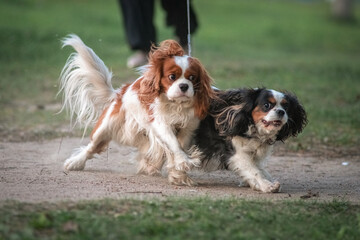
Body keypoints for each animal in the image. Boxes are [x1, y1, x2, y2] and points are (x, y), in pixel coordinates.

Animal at [59, 34, 214, 186]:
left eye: (192, 78)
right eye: (172, 77)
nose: (184, 86)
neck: (176, 105)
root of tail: (119, 93)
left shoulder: (187, 129)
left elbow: (178, 146)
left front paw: (179, 173)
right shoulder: (160, 124)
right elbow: (173, 143)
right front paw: (184, 162)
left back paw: (150, 167)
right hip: (106, 126)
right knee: (91, 147)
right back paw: (75, 162)